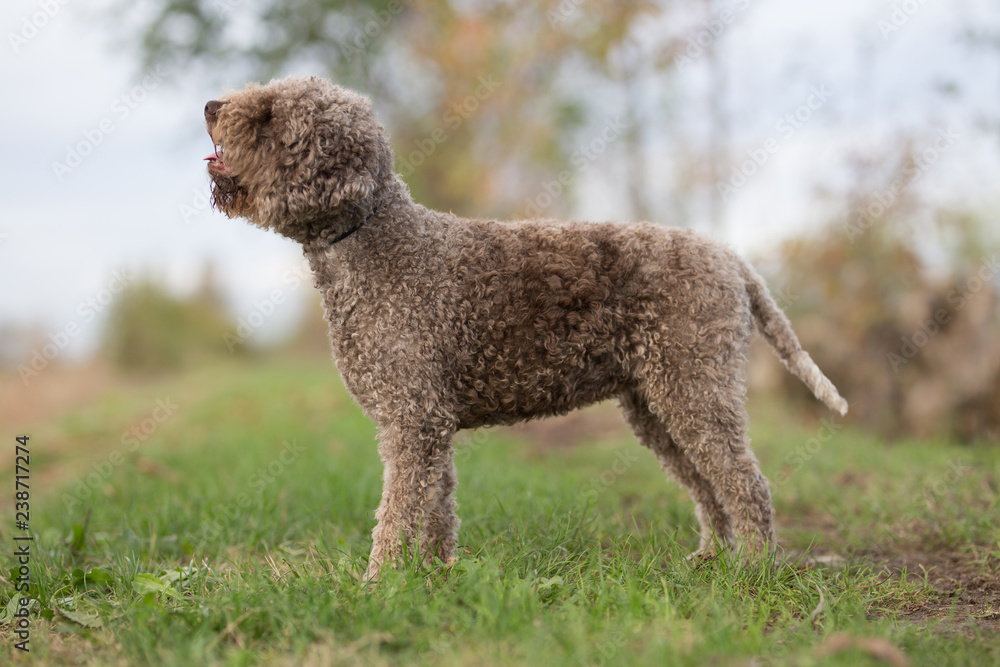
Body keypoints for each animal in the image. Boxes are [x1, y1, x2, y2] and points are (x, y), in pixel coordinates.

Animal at [207, 75, 848, 580]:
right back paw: (711, 557)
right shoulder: (430, 421)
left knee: (743, 481)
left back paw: (755, 569)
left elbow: (397, 513)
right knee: (705, 484)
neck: (375, 240)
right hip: (655, 401)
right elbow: (437, 507)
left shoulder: (412, 419)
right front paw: (434, 574)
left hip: (693, 385)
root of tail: (733, 260)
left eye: (270, 115)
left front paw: (378, 582)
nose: (211, 105)